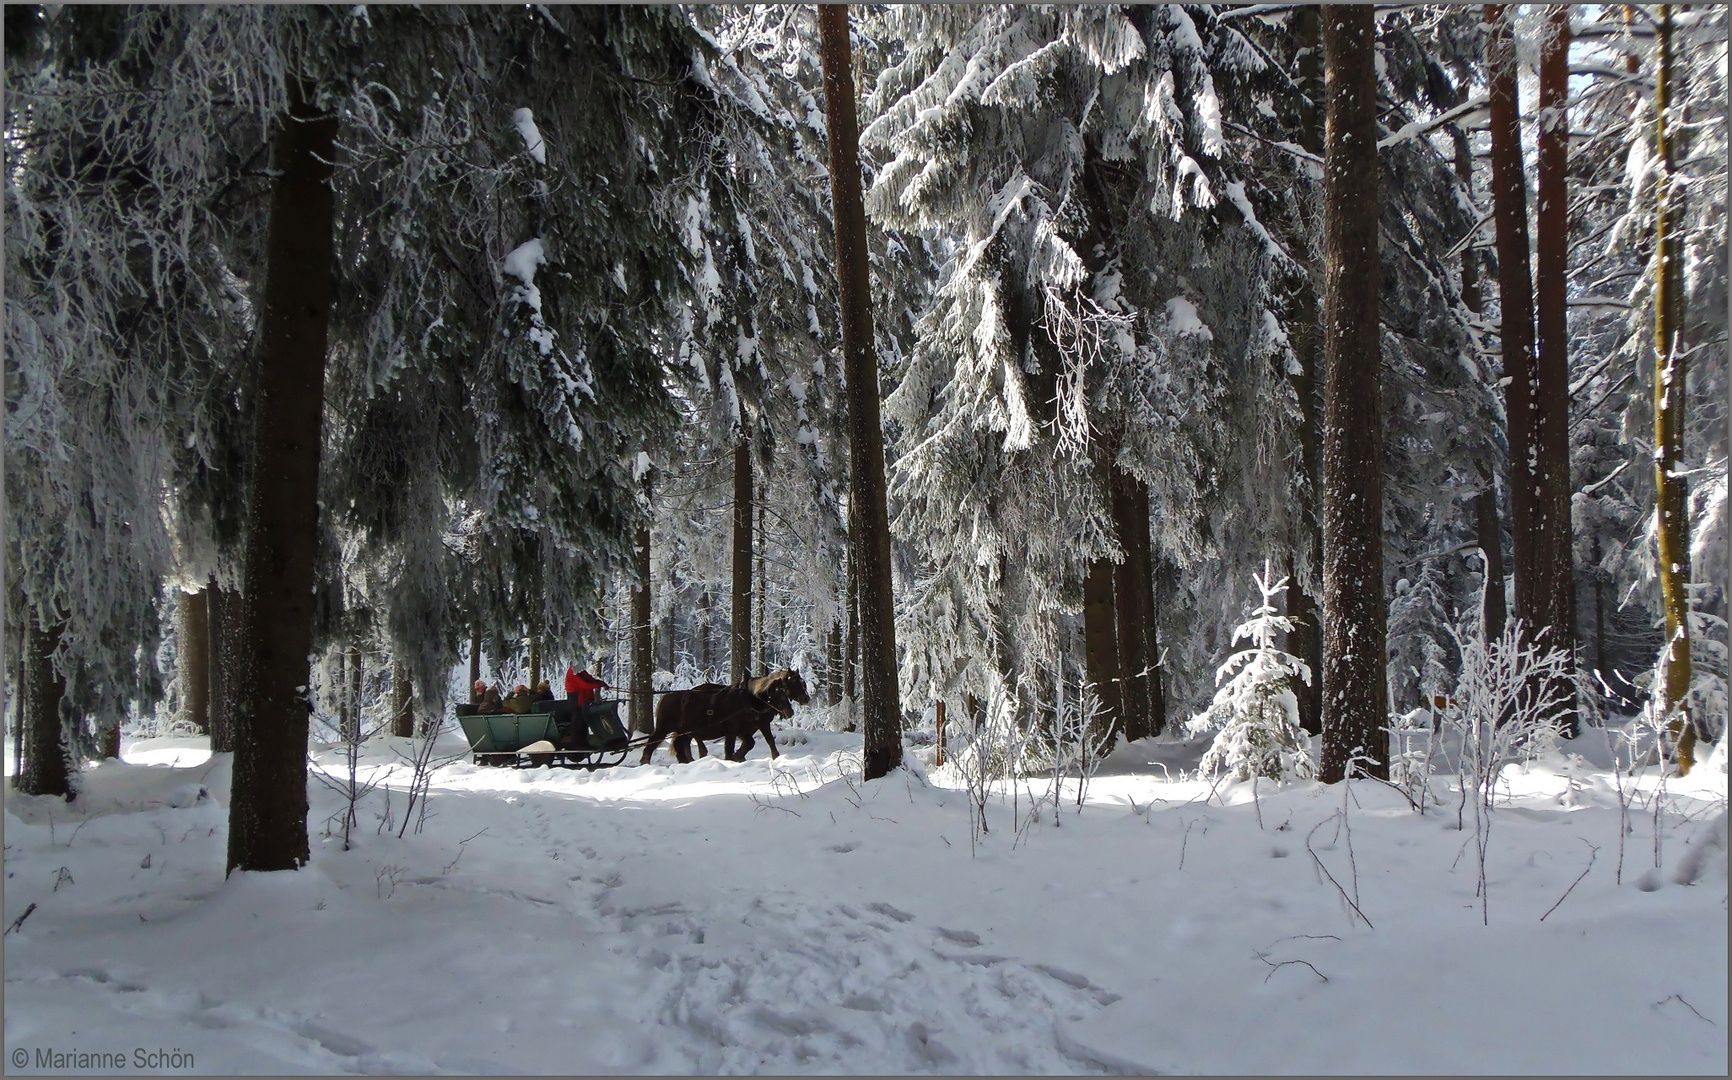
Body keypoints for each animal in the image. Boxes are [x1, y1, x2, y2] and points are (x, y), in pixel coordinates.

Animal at [644, 671, 810, 765]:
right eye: (795, 683)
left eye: (785, 691)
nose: (806, 698)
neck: (749, 699)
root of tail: (665, 697)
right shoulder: (735, 729)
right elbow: (731, 747)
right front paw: (734, 758)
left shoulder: (747, 729)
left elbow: (752, 743)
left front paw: (739, 757)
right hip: (665, 728)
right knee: (653, 743)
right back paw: (646, 762)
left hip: (684, 731)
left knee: (680, 745)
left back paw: (685, 761)